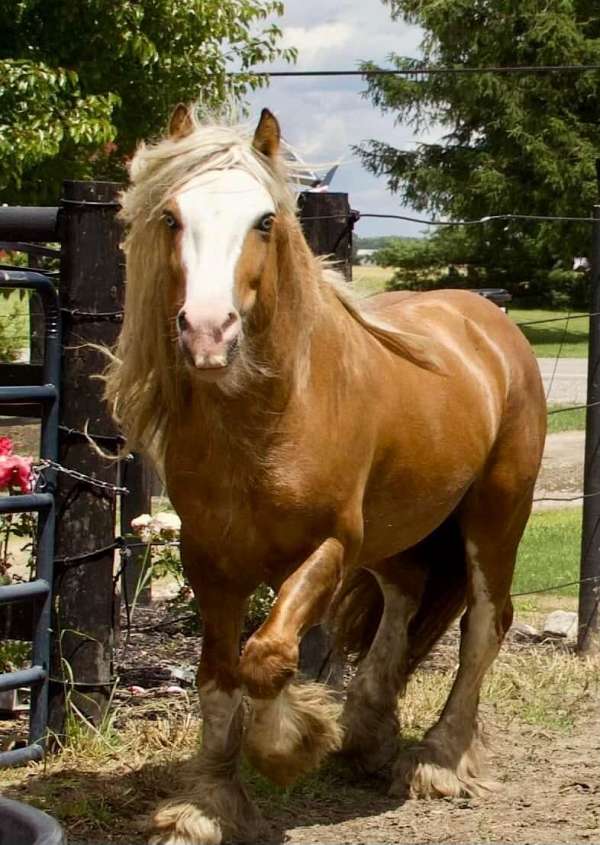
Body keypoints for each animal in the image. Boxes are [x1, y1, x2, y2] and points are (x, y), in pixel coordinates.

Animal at [105, 105, 546, 845]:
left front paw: (289, 745)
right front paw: (207, 803)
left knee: (485, 624)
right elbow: (218, 676)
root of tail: (490, 319)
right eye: (170, 216)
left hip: (495, 515)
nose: (207, 332)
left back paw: (437, 758)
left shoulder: (328, 548)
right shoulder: (209, 560)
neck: (269, 420)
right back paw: (367, 731)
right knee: (406, 593)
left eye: (264, 220)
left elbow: (268, 657)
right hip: (400, 528)